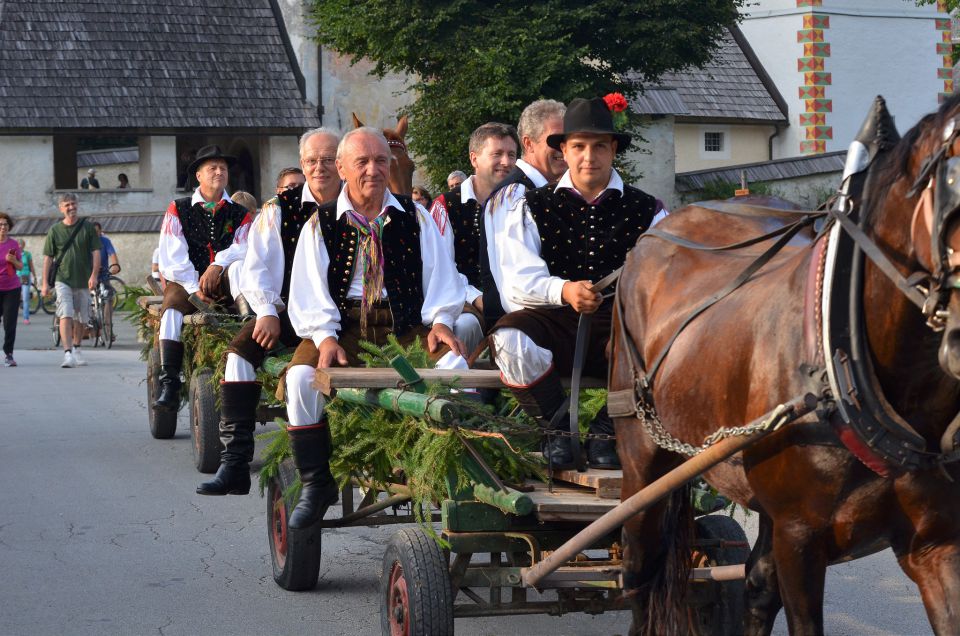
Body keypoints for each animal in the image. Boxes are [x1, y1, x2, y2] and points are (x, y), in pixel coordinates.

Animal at [612, 95, 960, 636]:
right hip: (641, 461)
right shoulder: (800, 538)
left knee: (755, 587)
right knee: (640, 575)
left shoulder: (936, 542)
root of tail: (655, 233)